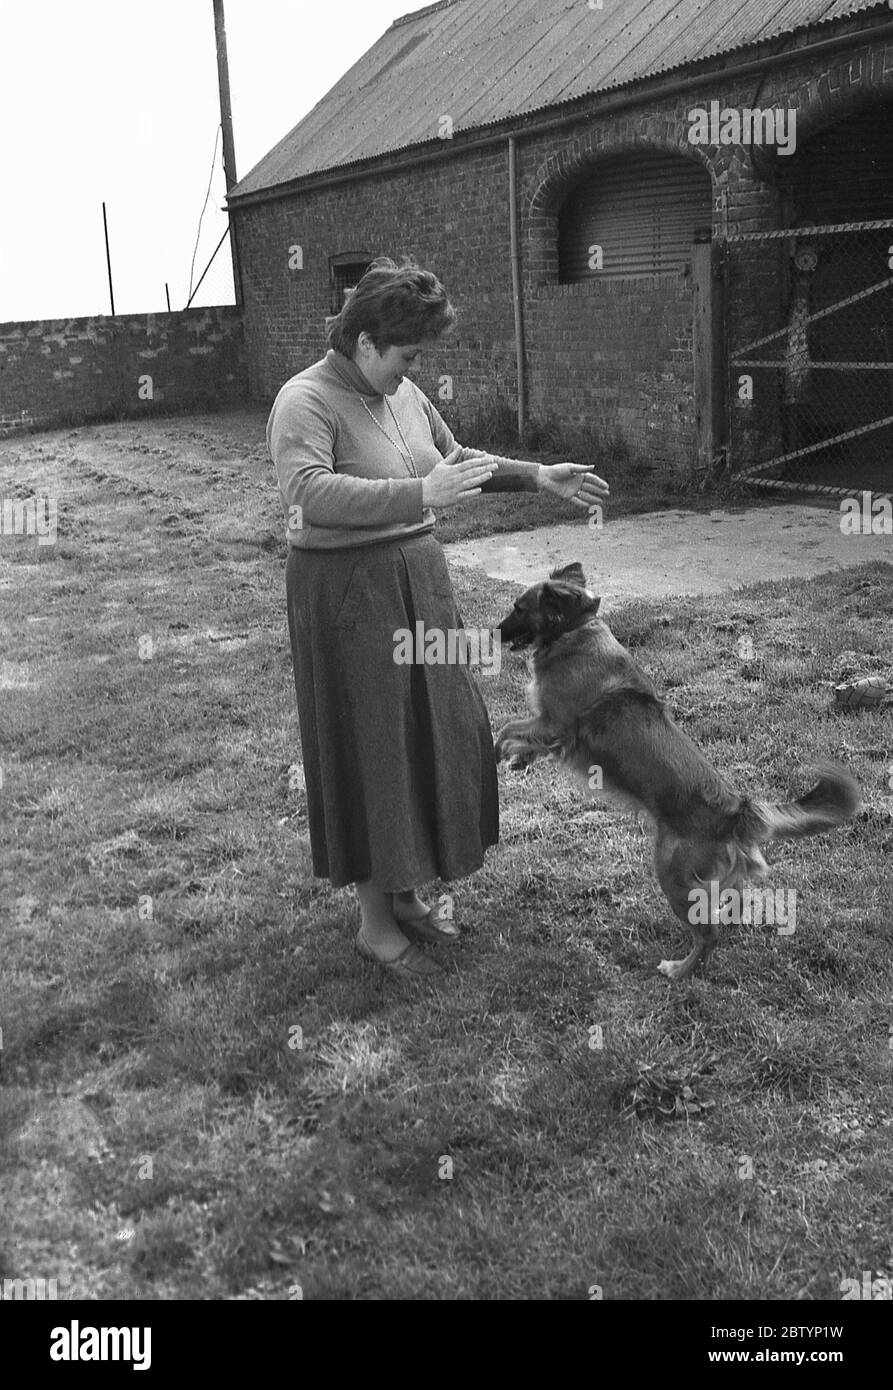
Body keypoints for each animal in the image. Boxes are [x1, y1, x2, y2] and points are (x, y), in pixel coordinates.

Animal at [489, 561, 856, 978]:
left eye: (519, 608)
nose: (493, 632)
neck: (575, 628)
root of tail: (734, 810)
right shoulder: (552, 730)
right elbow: (524, 739)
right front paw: (519, 760)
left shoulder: (554, 724)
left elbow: (507, 729)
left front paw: (497, 752)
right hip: (714, 877)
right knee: (731, 903)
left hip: (671, 873)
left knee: (708, 935)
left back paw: (680, 970)